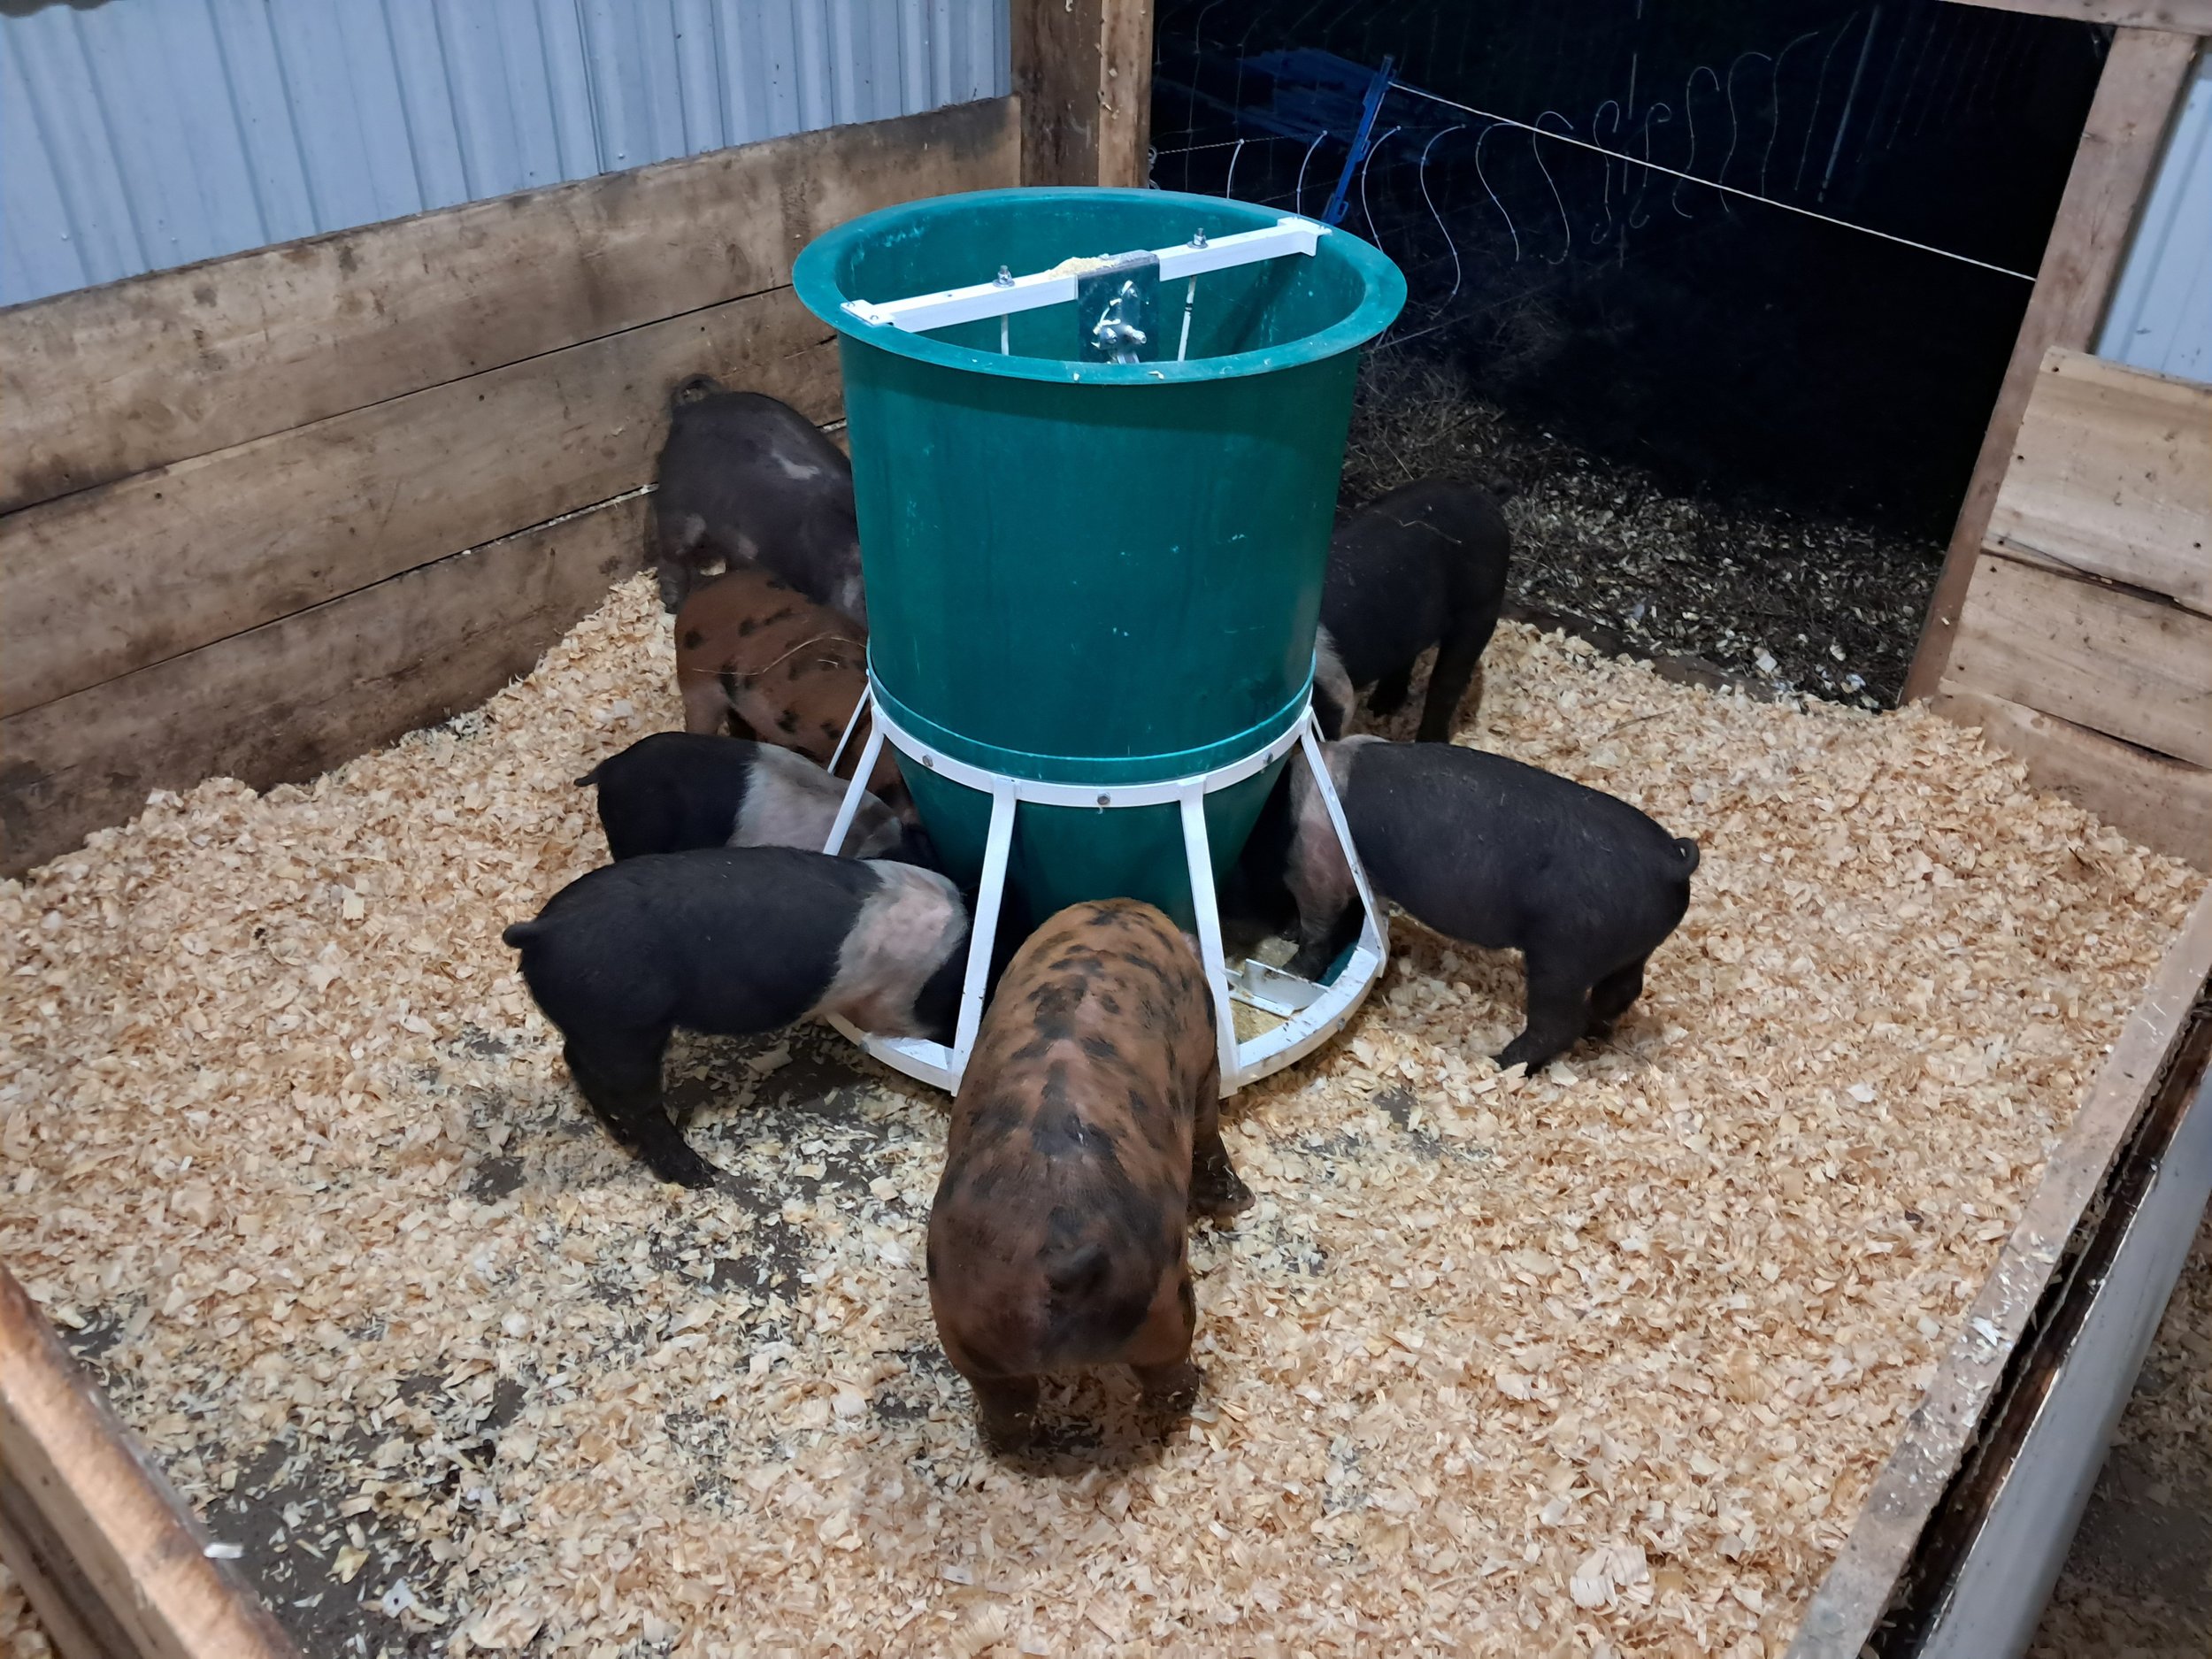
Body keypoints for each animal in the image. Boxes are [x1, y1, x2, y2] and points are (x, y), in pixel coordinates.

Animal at [502, 847, 968, 1188]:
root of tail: (543, 931)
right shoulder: (894, 1001)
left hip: (593, 1028)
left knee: (577, 1063)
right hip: (623, 1028)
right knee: (639, 1103)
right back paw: (703, 1176)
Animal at [927, 899, 1253, 1452]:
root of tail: (1051, 1267)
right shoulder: (1206, 1062)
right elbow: (1208, 1130)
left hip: (966, 1327)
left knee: (1008, 1402)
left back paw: (1002, 1442)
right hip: (1162, 1307)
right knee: (1167, 1371)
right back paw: (1191, 1395)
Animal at [1284, 736, 1698, 1072]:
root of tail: (1669, 862)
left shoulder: (1318, 866)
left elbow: (1317, 925)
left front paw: (1293, 968)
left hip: (1565, 955)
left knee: (1557, 1023)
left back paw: (1501, 1062)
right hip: (1634, 948)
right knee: (1622, 992)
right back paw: (1595, 1033)